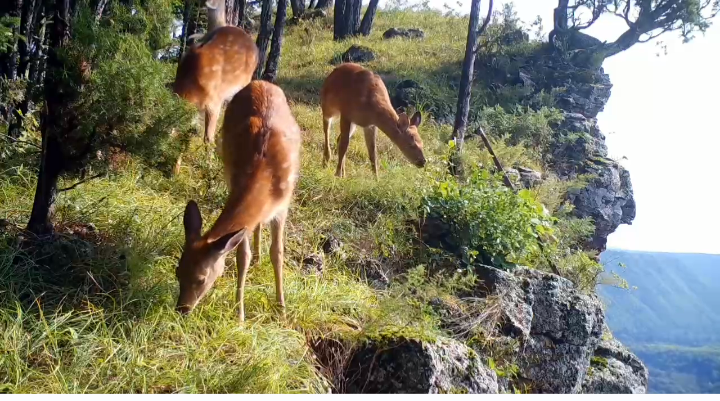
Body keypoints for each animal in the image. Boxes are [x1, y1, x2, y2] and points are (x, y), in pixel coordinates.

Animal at [174, 79, 300, 320]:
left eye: (201, 279)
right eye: (177, 271)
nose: (182, 309)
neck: (266, 174)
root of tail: (260, 81)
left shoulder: (283, 206)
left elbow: (277, 253)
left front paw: (281, 309)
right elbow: (243, 257)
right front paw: (240, 314)